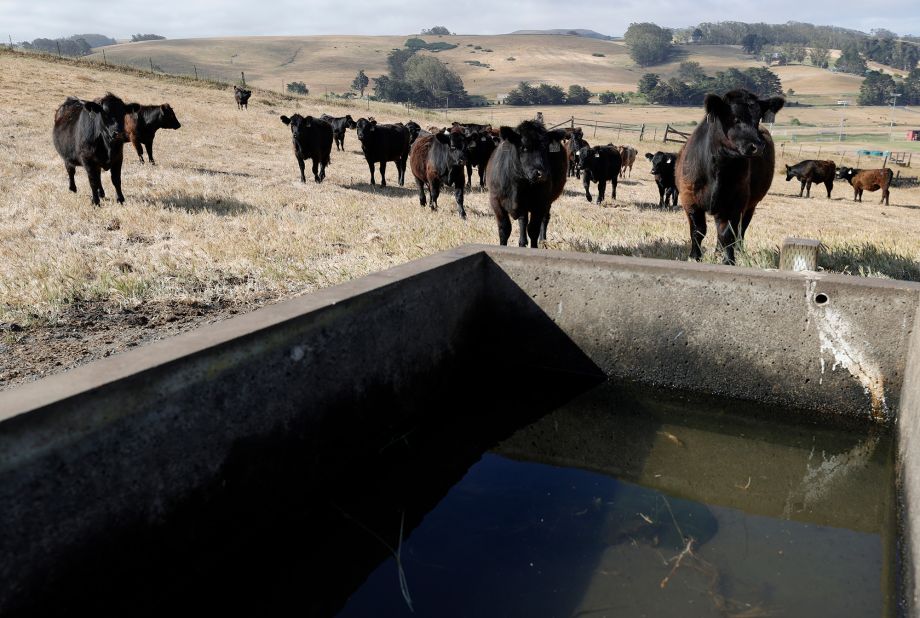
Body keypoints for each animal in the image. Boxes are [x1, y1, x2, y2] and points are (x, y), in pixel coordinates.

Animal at [482, 119, 568, 247]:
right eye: (524, 147)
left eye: (545, 148)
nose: (541, 173)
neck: (518, 184)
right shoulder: (495, 200)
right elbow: (504, 229)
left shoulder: (540, 203)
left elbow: (533, 230)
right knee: (523, 220)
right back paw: (522, 242)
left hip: (547, 201)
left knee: (545, 218)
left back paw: (542, 241)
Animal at [676, 88, 784, 264]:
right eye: (735, 118)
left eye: (757, 119)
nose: (757, 146)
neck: (719, 168)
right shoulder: (689, 198)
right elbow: (698, 231)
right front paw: (694, 256)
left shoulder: (736, 202)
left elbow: (728, 233)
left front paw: (729, 261)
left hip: (750, 205)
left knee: (740, 229)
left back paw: (735, 251)